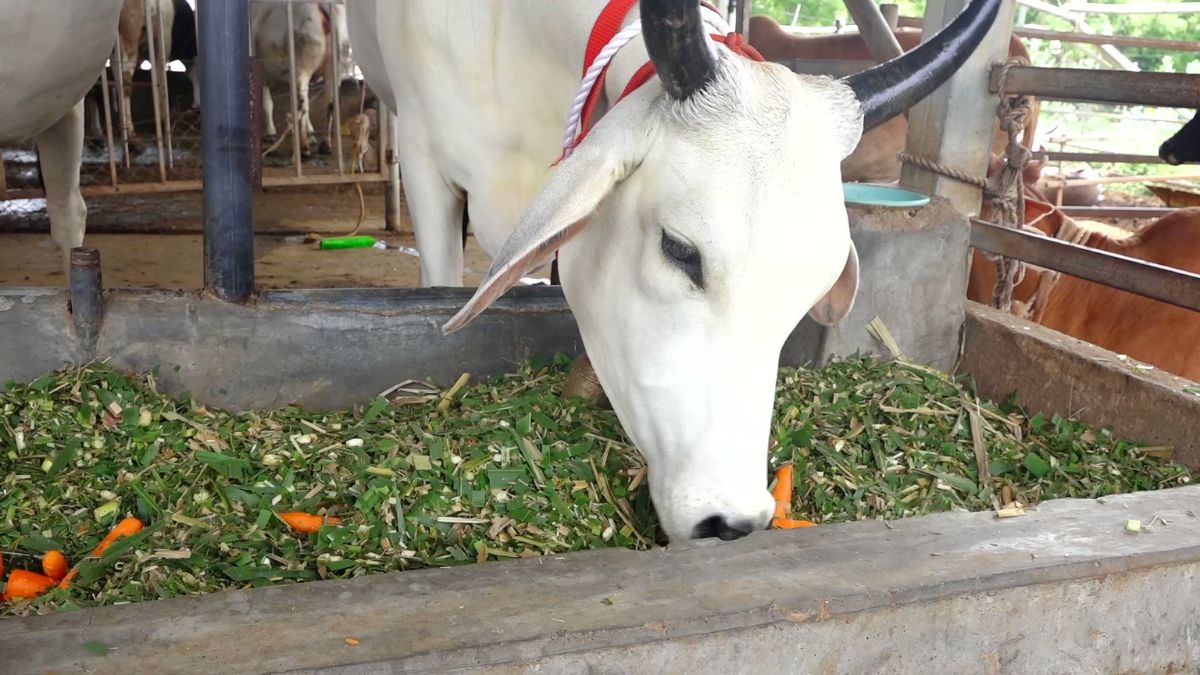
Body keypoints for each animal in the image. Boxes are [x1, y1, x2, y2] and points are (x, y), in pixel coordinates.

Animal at [252, 2, 352, 158]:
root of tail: (320, 4)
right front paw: (312, 135)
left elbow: (266, 103)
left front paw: (270, 133)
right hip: (335, 68)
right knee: (329, 104)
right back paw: (325, 144)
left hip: (301, 69)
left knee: (302, 105)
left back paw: (303, 148)